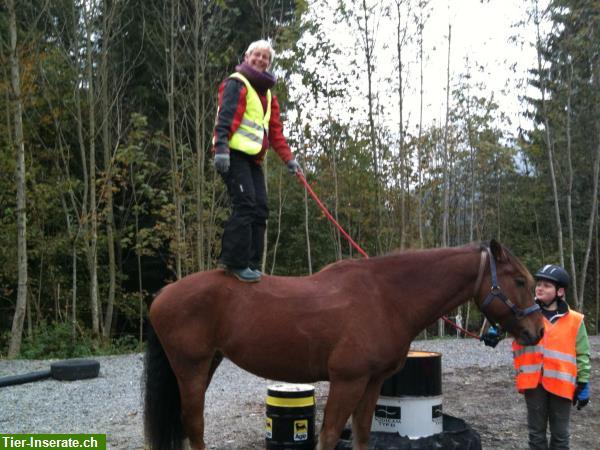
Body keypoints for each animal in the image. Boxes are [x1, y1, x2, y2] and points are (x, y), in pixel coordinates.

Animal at [144, 241, 544, 450]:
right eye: (520, 281)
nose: (537, 331)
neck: (386, 298)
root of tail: (164, 293)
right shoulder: (347, 381)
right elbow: (330, 435)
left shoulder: (371, 383)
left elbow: (363, 434)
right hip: (192, 368)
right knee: (194, 423)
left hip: (208, 363)